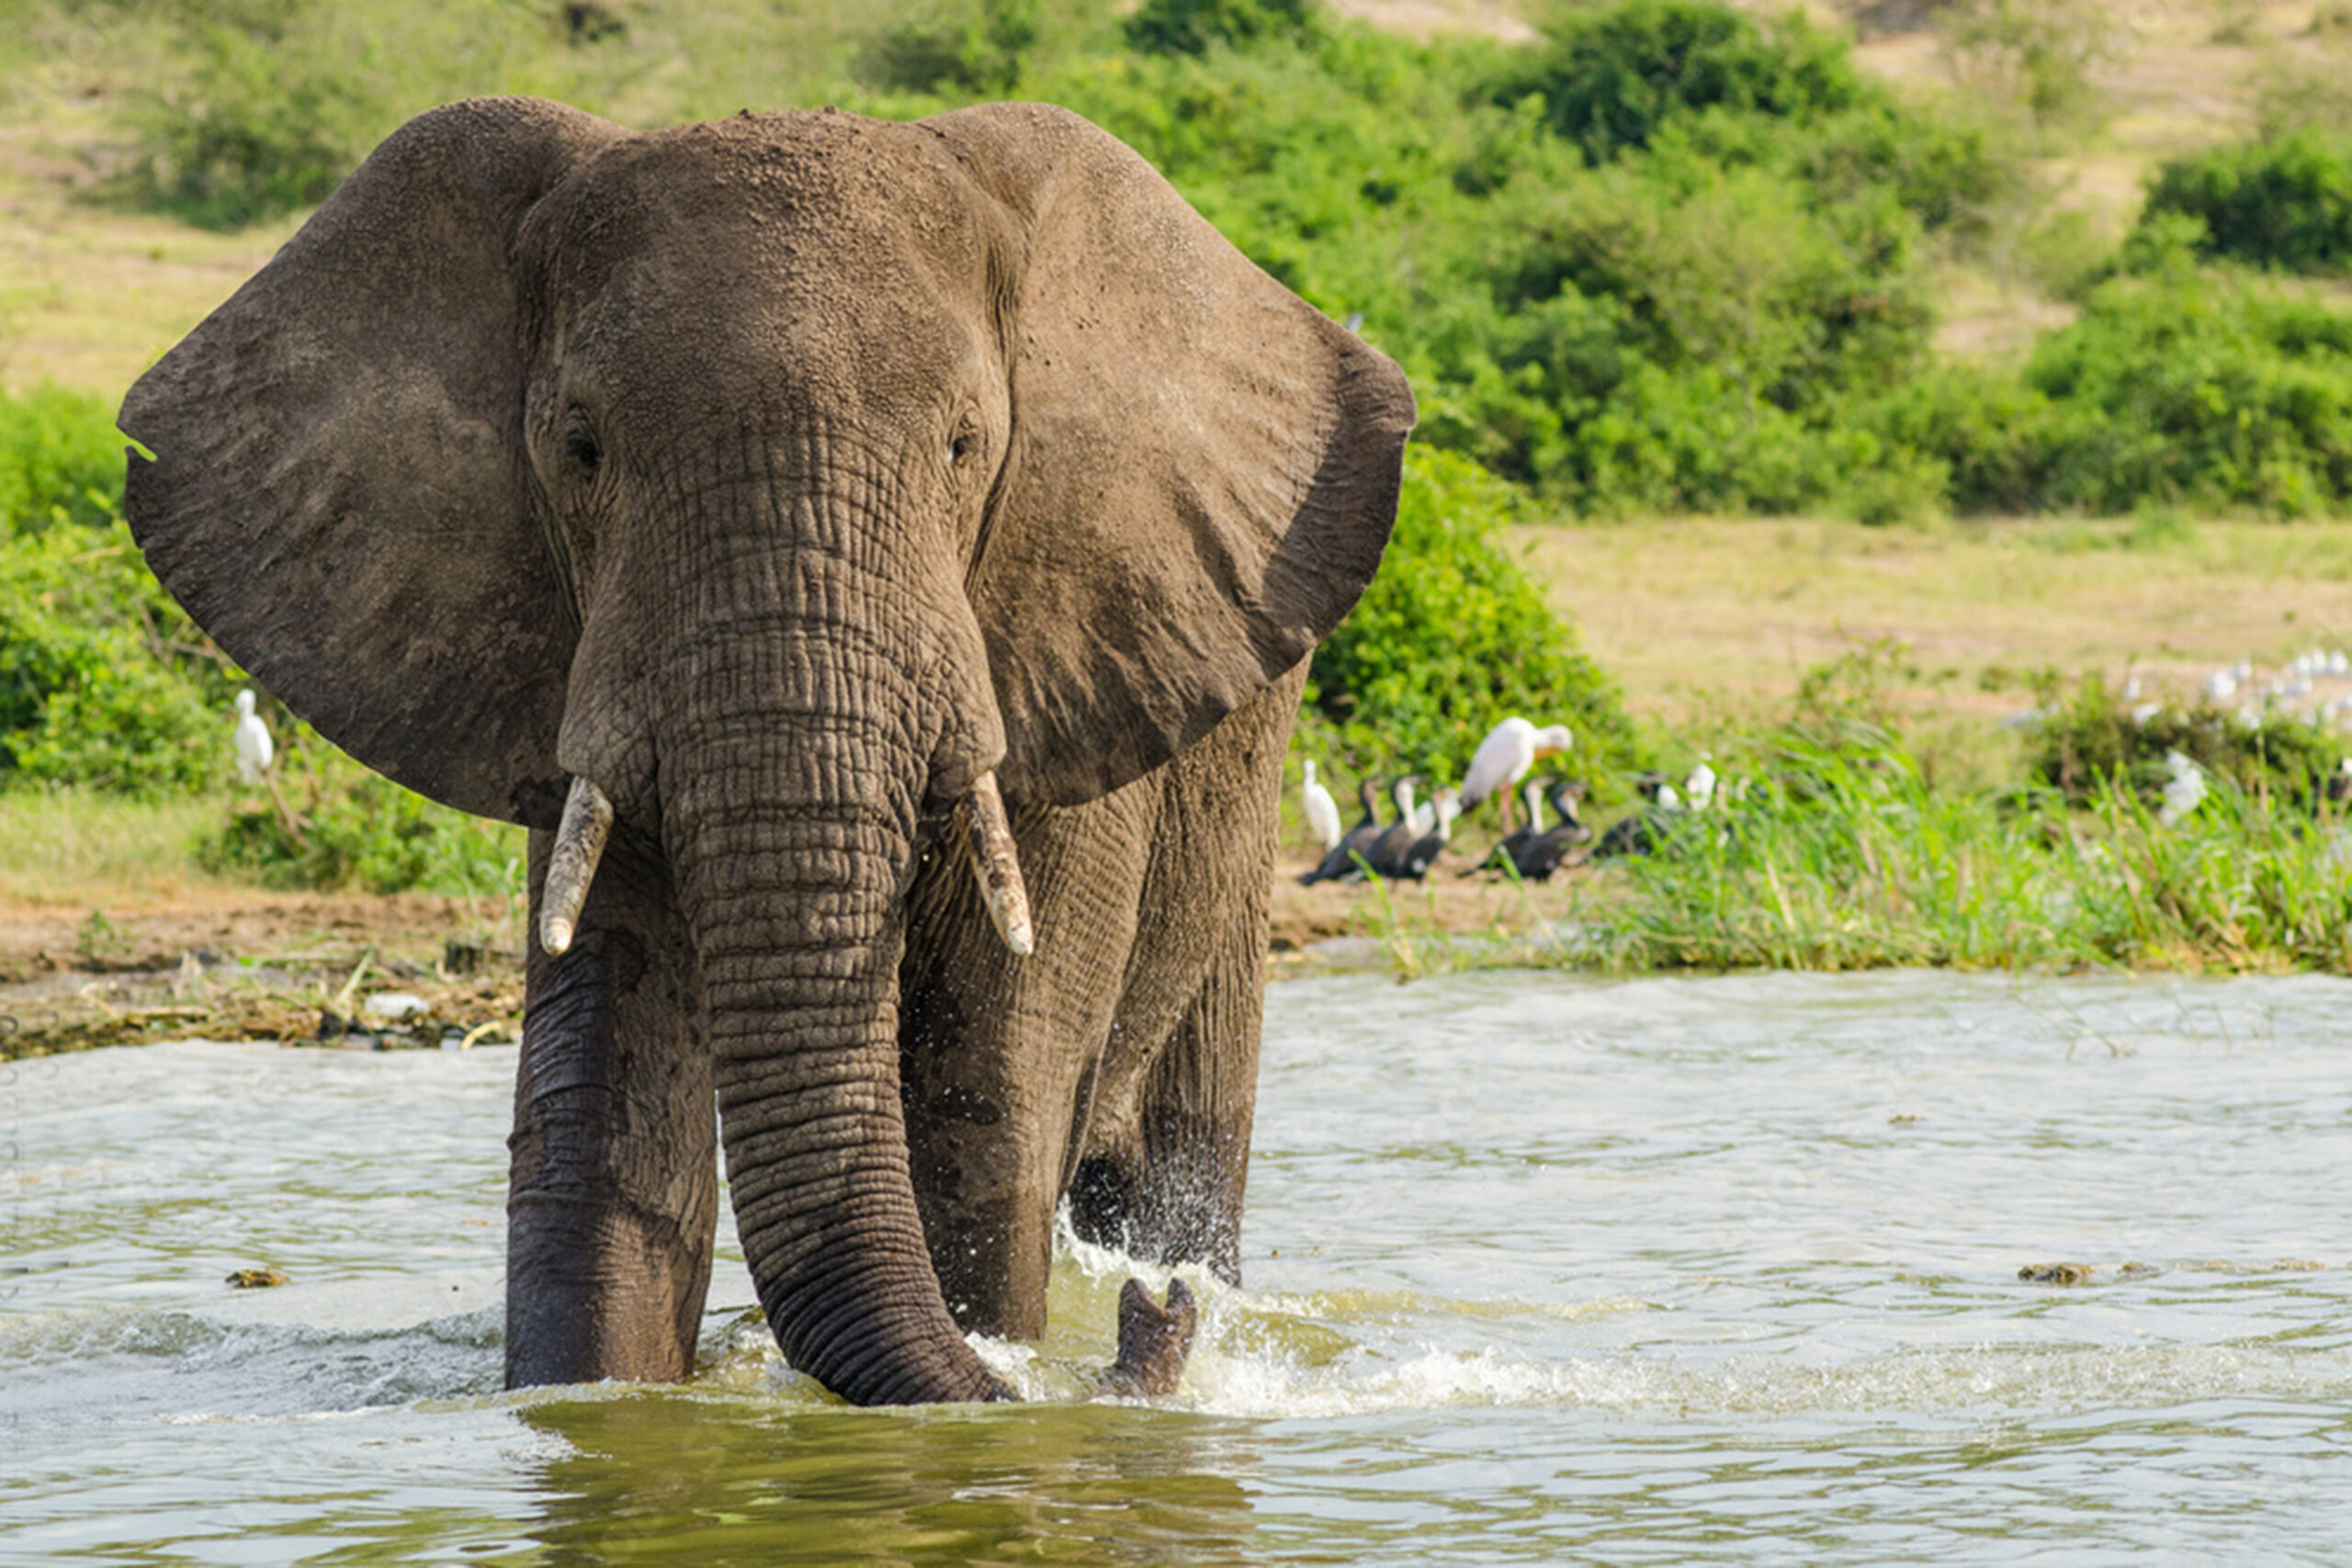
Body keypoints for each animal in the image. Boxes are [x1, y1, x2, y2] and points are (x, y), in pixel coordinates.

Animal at [119, 92, 1401, 1401]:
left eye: (964, 445)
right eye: (579, 447)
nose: (1154, 1322)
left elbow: (990, 1094)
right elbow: (608, 1102)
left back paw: (1182, 1270)